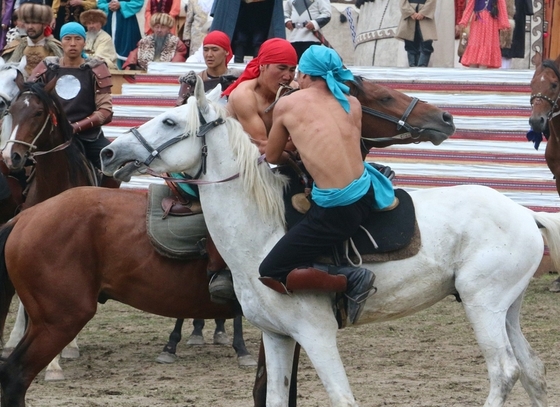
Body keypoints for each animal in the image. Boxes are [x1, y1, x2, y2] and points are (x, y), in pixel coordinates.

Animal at [101, 77, 556, 407]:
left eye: (170, 122)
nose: (108, 152)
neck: (260, 231)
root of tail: (524, 212)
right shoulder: (277, 337)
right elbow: (275, 396)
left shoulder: (315, 335)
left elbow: (341, 397)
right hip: (505, 307)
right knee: (533, 371)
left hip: (483, 305)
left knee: (505, 372)